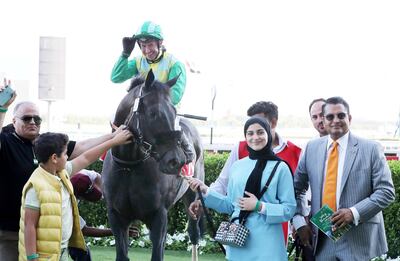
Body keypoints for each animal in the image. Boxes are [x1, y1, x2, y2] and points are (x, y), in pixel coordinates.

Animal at [101, 70, 205, 258]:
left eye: (174, 111)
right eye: (153, 113)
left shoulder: (159, 216)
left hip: (193, 200)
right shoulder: (116, 217)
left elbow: (157, 252)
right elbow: (122, 254)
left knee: (194, 234)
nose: (176, 160)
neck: (130, 167)